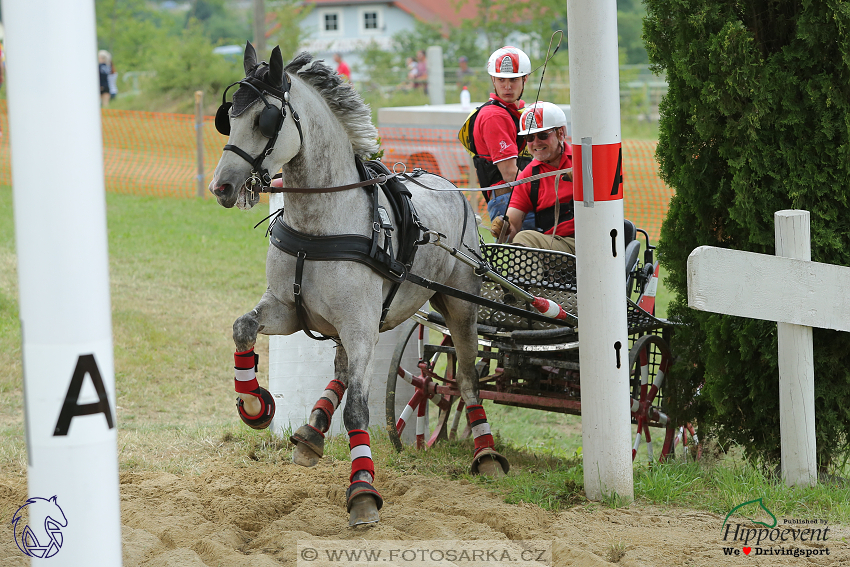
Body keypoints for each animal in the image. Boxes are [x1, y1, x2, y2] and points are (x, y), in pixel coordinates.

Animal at [209, 44, 506, 528]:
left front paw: (363, 491)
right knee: (343, 370)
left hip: (459, 309)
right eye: (228, 117)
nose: (223, 186)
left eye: (265, 120)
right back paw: (311, 432)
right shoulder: (287, 310)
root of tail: (453, 188)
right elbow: (243, 328)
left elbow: (358, 411)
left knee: (465, 381)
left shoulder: (361, 326)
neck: (321, 224)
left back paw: (486, 454)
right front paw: (254, 406)